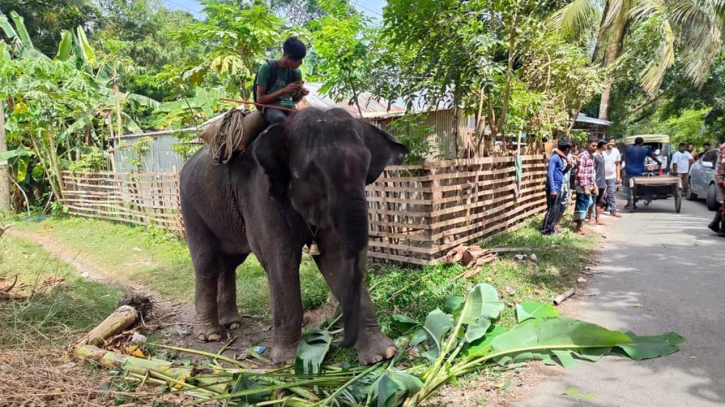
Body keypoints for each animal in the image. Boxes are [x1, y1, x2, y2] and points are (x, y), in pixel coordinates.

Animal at [177, 107, 408, 364]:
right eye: (313, 172)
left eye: (366, 168)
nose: (337, 340)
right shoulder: (261, 196)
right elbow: (281, 259)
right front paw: (288, 360)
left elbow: (335, 258)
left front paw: (383, 355)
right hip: (191, 207)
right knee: (206, 263)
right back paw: (210, 335)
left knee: (230, 263)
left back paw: (232, 324)